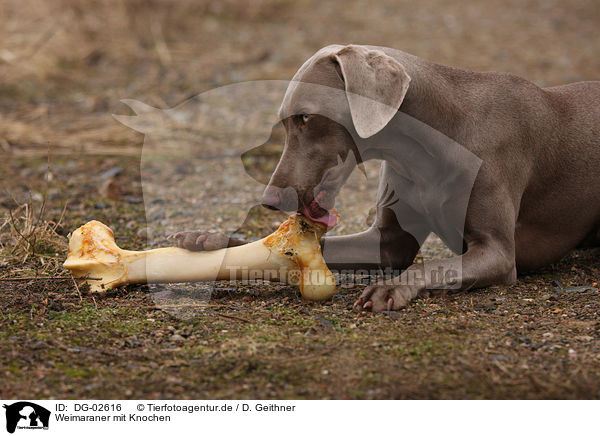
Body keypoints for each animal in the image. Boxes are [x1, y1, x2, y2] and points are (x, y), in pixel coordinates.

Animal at [177, 44, 600, 312]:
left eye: (306, 117)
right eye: (284, 121)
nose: (270, 200)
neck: (426, 147)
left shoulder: (497, 252)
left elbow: (431, 265)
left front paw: (391, 287)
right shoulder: (388, 242)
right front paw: (212, 240)